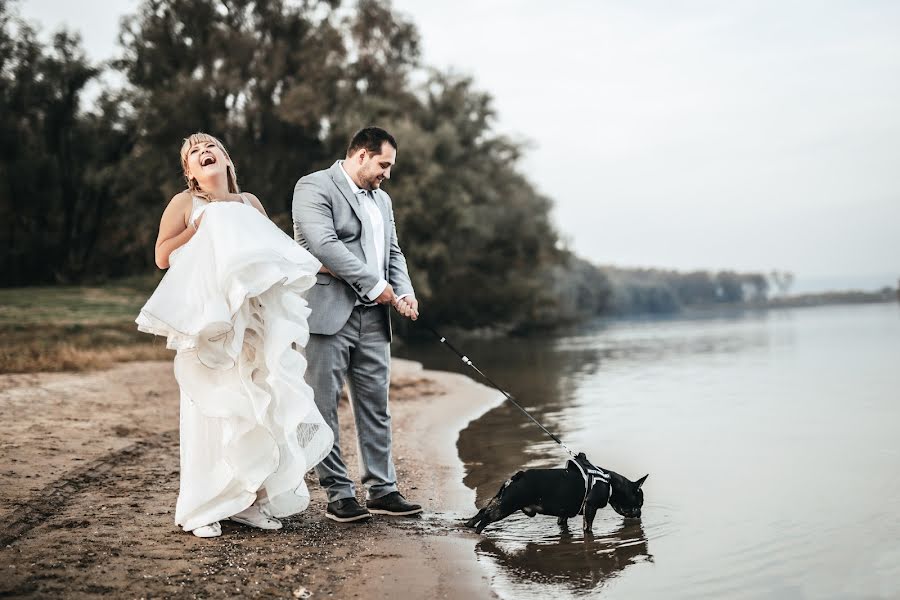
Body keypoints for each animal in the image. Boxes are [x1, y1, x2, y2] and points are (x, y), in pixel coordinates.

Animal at [464, 454, 648, 536]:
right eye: (639, 503)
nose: (640, 513)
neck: (610, 483)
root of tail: (516, 477)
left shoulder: (563, 512)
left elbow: (562, 522)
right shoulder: (590, 507)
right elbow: (587, 527)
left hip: (500, 500)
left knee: (483, 511)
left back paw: (468, 525)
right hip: (506, 506)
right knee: (486, 518)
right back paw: (478, 532)